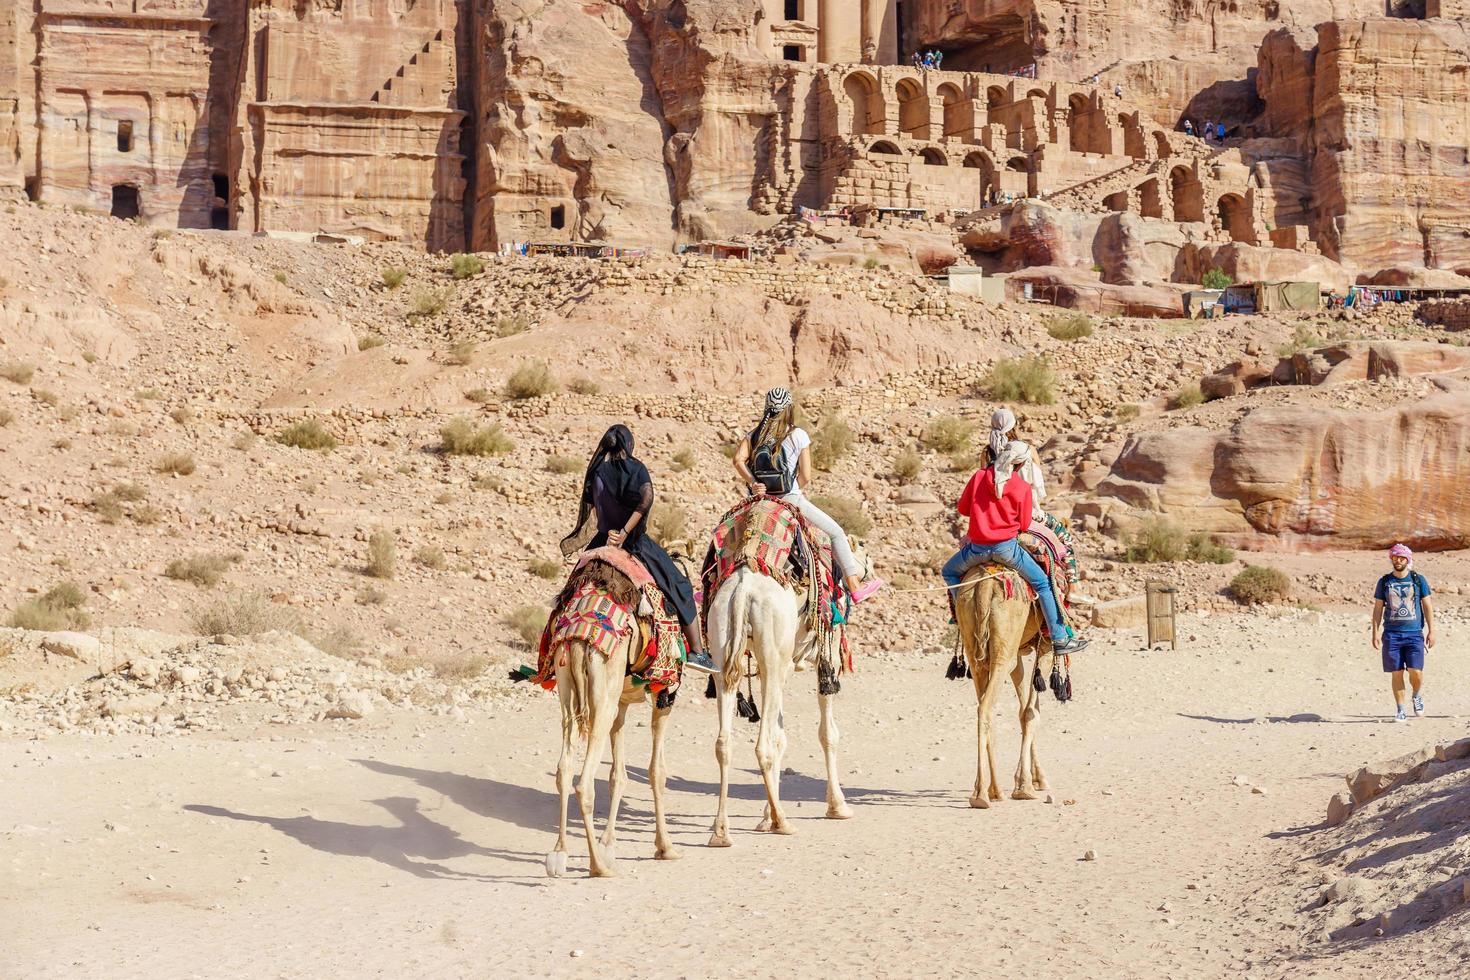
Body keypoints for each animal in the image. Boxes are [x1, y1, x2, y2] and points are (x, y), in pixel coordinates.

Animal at [546, 599, 676, 881]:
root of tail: (579, 639)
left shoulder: (622, 701)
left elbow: (618, 776)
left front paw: (608, 843)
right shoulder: (664, 692)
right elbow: (656, 771)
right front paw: (665, 846)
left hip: (566, 685)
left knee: (564, 769)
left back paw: (559, 853)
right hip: (603, 690)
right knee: (584, 783)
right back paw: (597, 866)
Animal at [708, 564, 858, 846]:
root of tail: (743, 590)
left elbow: (780, 736)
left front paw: (766, 816)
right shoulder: (827, 650)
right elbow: (827, 733)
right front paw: (837, 806)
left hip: (722, 647)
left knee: (724, 743)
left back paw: (720, 831)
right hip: (772, 651)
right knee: (764, 746)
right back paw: (782, 822)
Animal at [952, 570, 1058, 811]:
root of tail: (984, 587)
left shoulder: (1018, 651)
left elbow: (1023, 711)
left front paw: (1034, 778)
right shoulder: (1045, 644)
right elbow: (1031, 712)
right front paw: (1026, 785)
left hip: (976, 648)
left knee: (985, 704)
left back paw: (992, 790)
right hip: (1004, 647)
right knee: (987, 707)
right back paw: (982, 794)